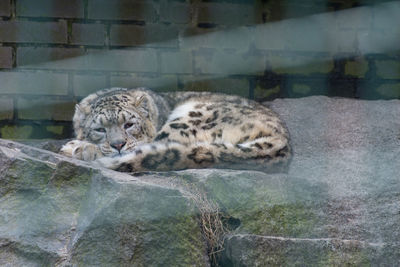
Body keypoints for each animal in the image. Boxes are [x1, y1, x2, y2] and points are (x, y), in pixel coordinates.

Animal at [59, 87, 290, 173]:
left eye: (129, 124)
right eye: (100, 129)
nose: (118, 144)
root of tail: (282, 141)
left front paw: (80, 147)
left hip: (189, 118)